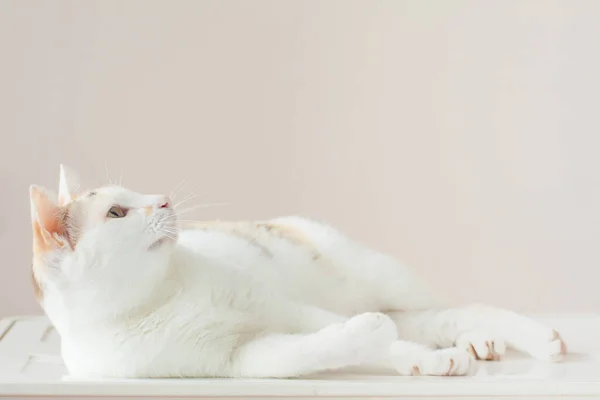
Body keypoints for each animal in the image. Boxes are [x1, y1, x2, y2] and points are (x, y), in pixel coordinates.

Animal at [30, 165, 568, 378]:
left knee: (459, 308)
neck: (157, 298)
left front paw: (415, 355)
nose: (163, 199)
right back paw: (473, 342)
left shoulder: (281, 307)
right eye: (117, 213)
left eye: (137, 196)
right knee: (434, 320)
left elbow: (337, 330)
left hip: (380, 276)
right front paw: (393, 346)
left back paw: (530, 339)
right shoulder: (240, 360)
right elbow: (316, 349)